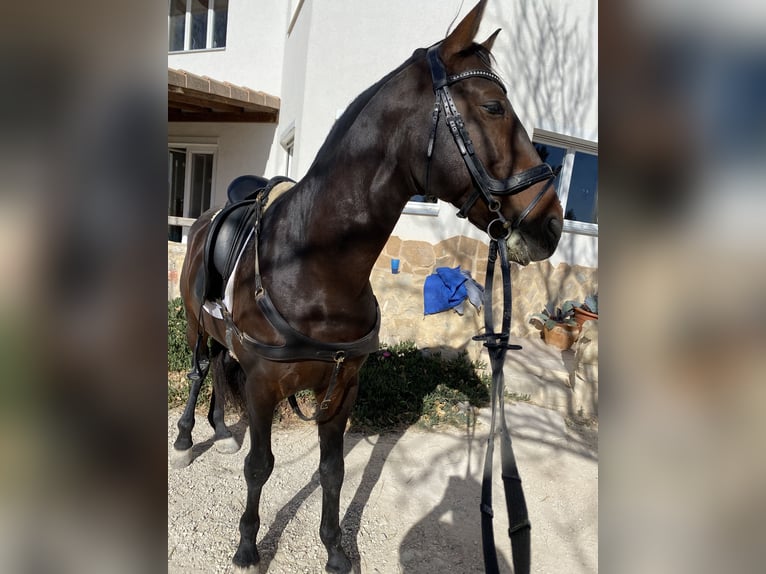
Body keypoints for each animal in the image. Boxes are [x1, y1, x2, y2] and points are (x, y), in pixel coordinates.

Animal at [171, 2, 564, 572]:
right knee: (201, 368)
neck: (314, 269)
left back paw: (221, 430)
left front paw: (335, 547)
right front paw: (247, 545)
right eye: (493, 106)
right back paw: (186, 438)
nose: (552, 223)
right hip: (194, 322)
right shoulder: (264, 386)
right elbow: (260, 466)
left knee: (222, 369)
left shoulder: (344, 387)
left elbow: (332, 472)